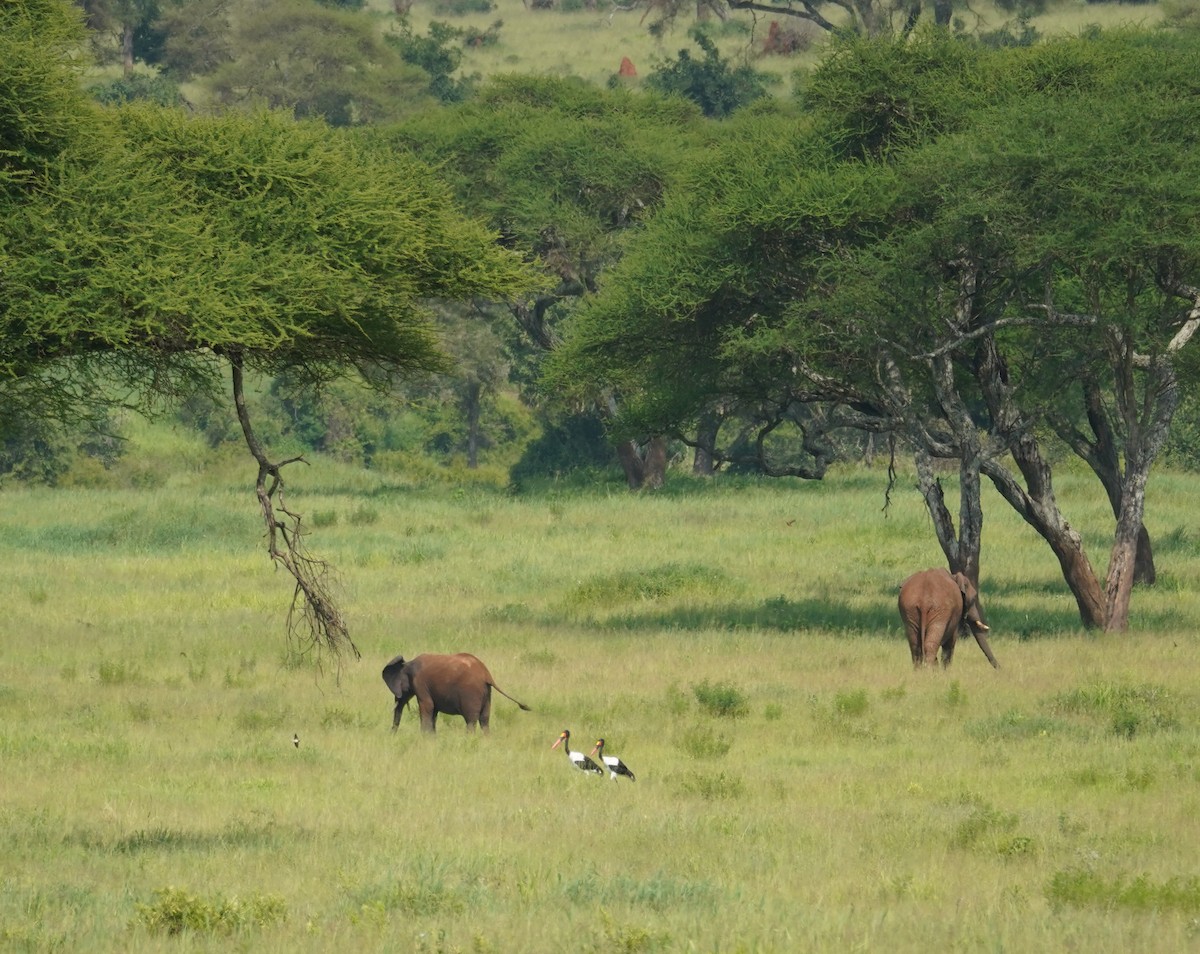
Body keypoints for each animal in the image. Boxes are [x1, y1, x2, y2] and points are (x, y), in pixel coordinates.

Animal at [381, 652, 532, 734]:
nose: (392, 735)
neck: (407, 664)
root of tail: (487, 675)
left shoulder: (420, 683)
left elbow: (427, 707)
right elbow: (433, 712)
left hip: (471, 693)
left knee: (471, 720)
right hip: (487, 694)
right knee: (484, 720)